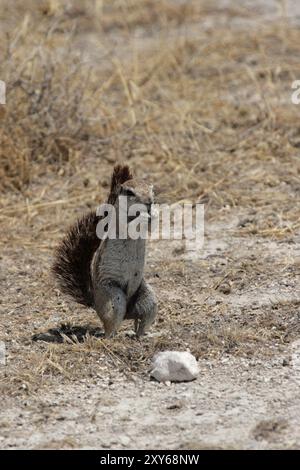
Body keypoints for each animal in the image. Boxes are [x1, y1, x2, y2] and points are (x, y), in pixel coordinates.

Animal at [51, 165, 158, 338]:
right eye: (130, 192)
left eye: (152, 189)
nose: (149, 202)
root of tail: (94, 302)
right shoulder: (119, 224)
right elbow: (128, 226)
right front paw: (142, 216)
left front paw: (154, 212)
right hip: (114, 298)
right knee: (109, 328)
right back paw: (114, 337)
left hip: (149, 299)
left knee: (140, 324)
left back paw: (145, 335)